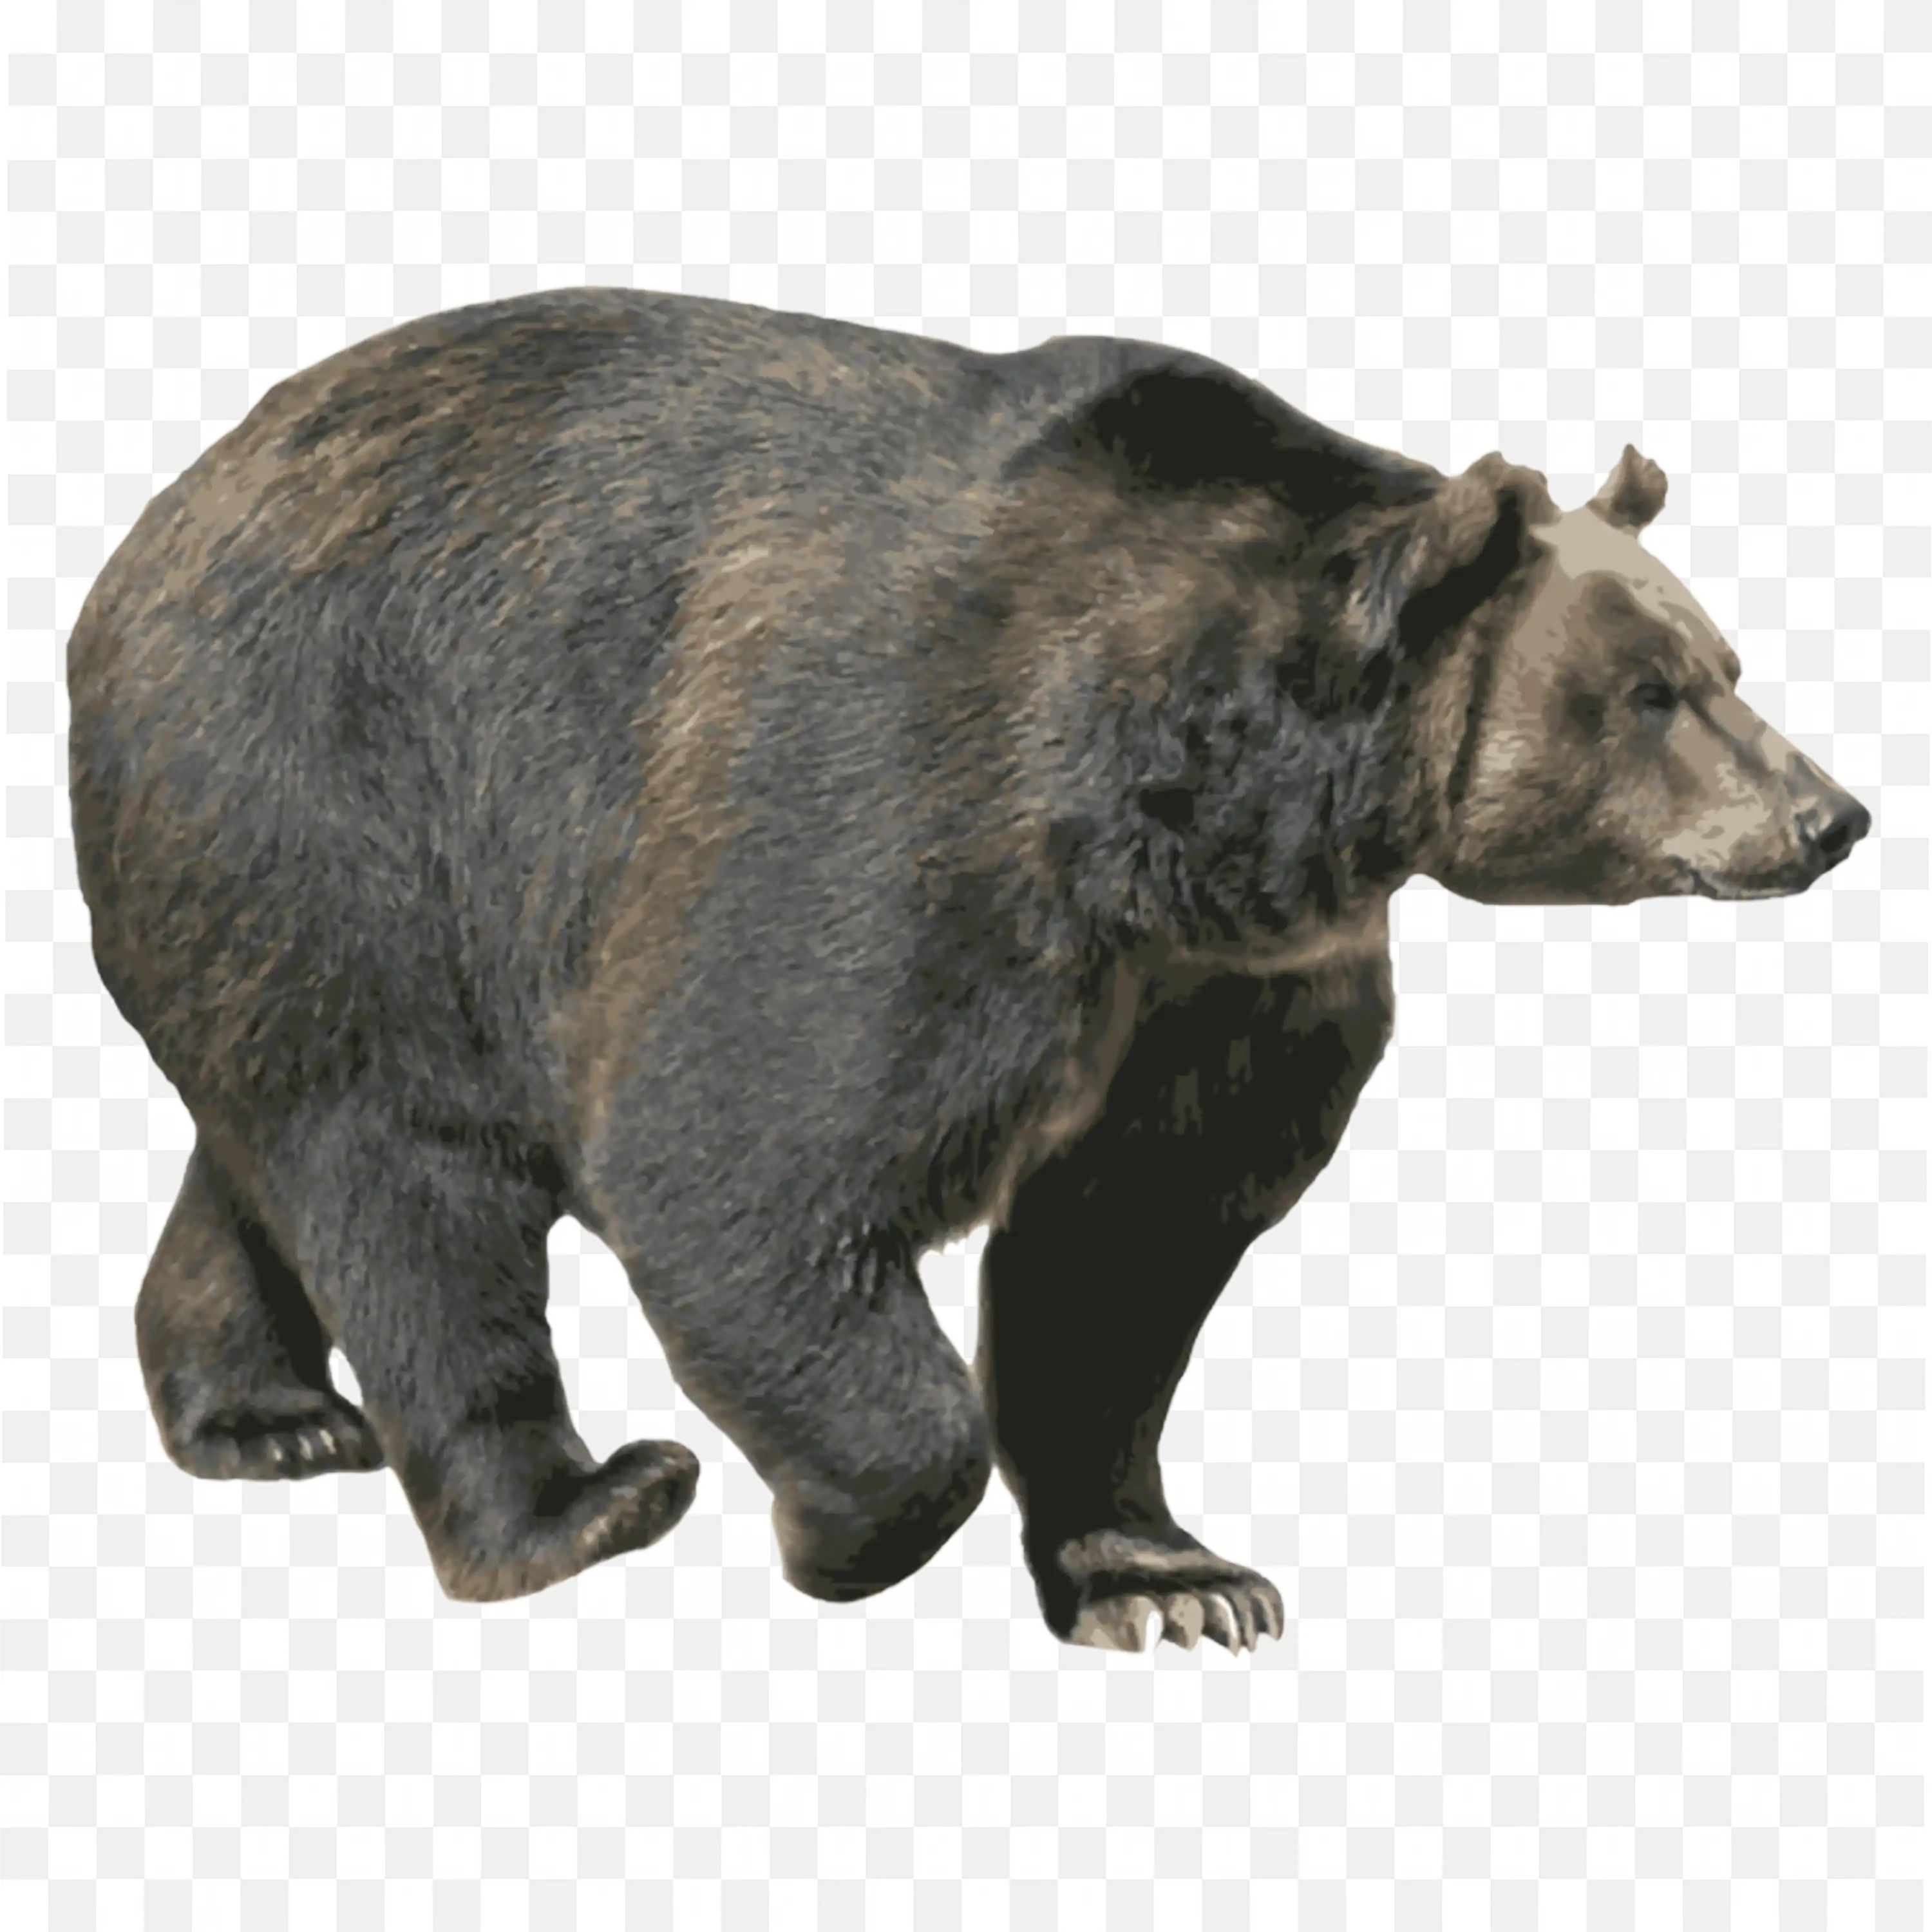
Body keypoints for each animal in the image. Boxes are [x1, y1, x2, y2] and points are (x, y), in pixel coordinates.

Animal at [64, 286, 1872, 1652]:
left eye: (1724, 662)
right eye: (1649, 692)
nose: (1828, 814)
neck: (1197, 810)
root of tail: (151, 529)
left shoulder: (1221, 983)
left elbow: (1126, 1246)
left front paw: (1169, 1577)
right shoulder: (912, 811)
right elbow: (740, 1154)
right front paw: (836, 1530)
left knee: (279, 1140)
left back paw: (261, 1413)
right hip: (337, 788)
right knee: (407, 1173)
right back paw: (577, 1505)